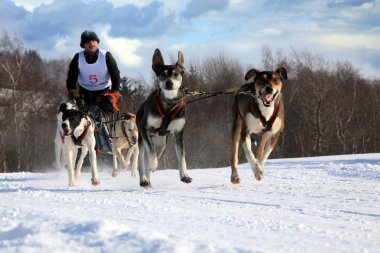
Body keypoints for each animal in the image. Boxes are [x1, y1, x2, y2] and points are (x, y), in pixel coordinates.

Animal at [135, 48, 191, 187]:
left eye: (176, 74)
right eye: (163, 74)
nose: (169, 83)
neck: (169, 103)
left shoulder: (179, 133)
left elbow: (182, 157)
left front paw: (184, 175)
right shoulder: (144, 128)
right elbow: (151, 152)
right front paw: (153, 164)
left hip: (161, 145)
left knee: (153, 156)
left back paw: (148, 178)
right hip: (142, 140)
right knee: (142, 160)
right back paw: (144, 179)